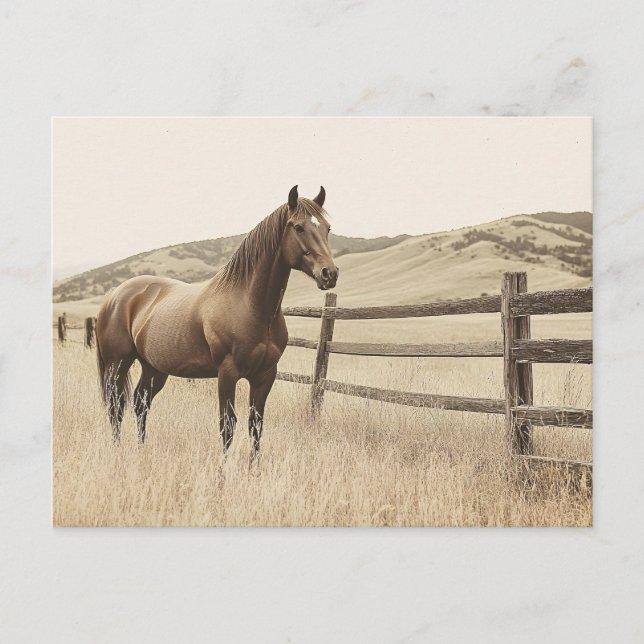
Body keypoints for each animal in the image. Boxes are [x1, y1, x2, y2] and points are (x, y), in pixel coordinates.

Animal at [95, 185, 338, 455]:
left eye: (327, 228)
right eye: (298, 227)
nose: (329, 274)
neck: (249, 305)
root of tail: (114, 295)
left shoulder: (265, 375)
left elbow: (256, 426)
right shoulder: (227, 373)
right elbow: (227, 425)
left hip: (153, 367)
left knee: (140, 404)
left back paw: (141, 450)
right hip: (118, 364)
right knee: (116, 407)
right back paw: (117, 450)